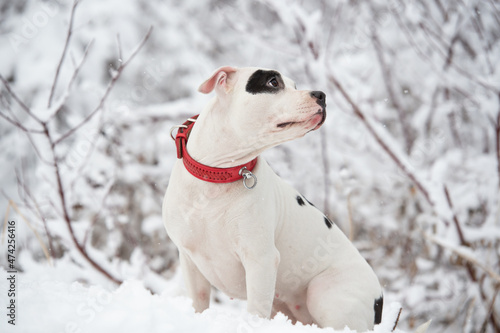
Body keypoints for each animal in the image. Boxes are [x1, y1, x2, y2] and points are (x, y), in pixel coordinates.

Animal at [163, 65, 382, 330]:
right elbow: (199, 303)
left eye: (295, 85)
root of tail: (379, 301)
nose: (321, 95)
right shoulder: (190, 260)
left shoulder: (261, 260)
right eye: (273, 82)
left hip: (325, 293)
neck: (218, 176)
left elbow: (256, 311)